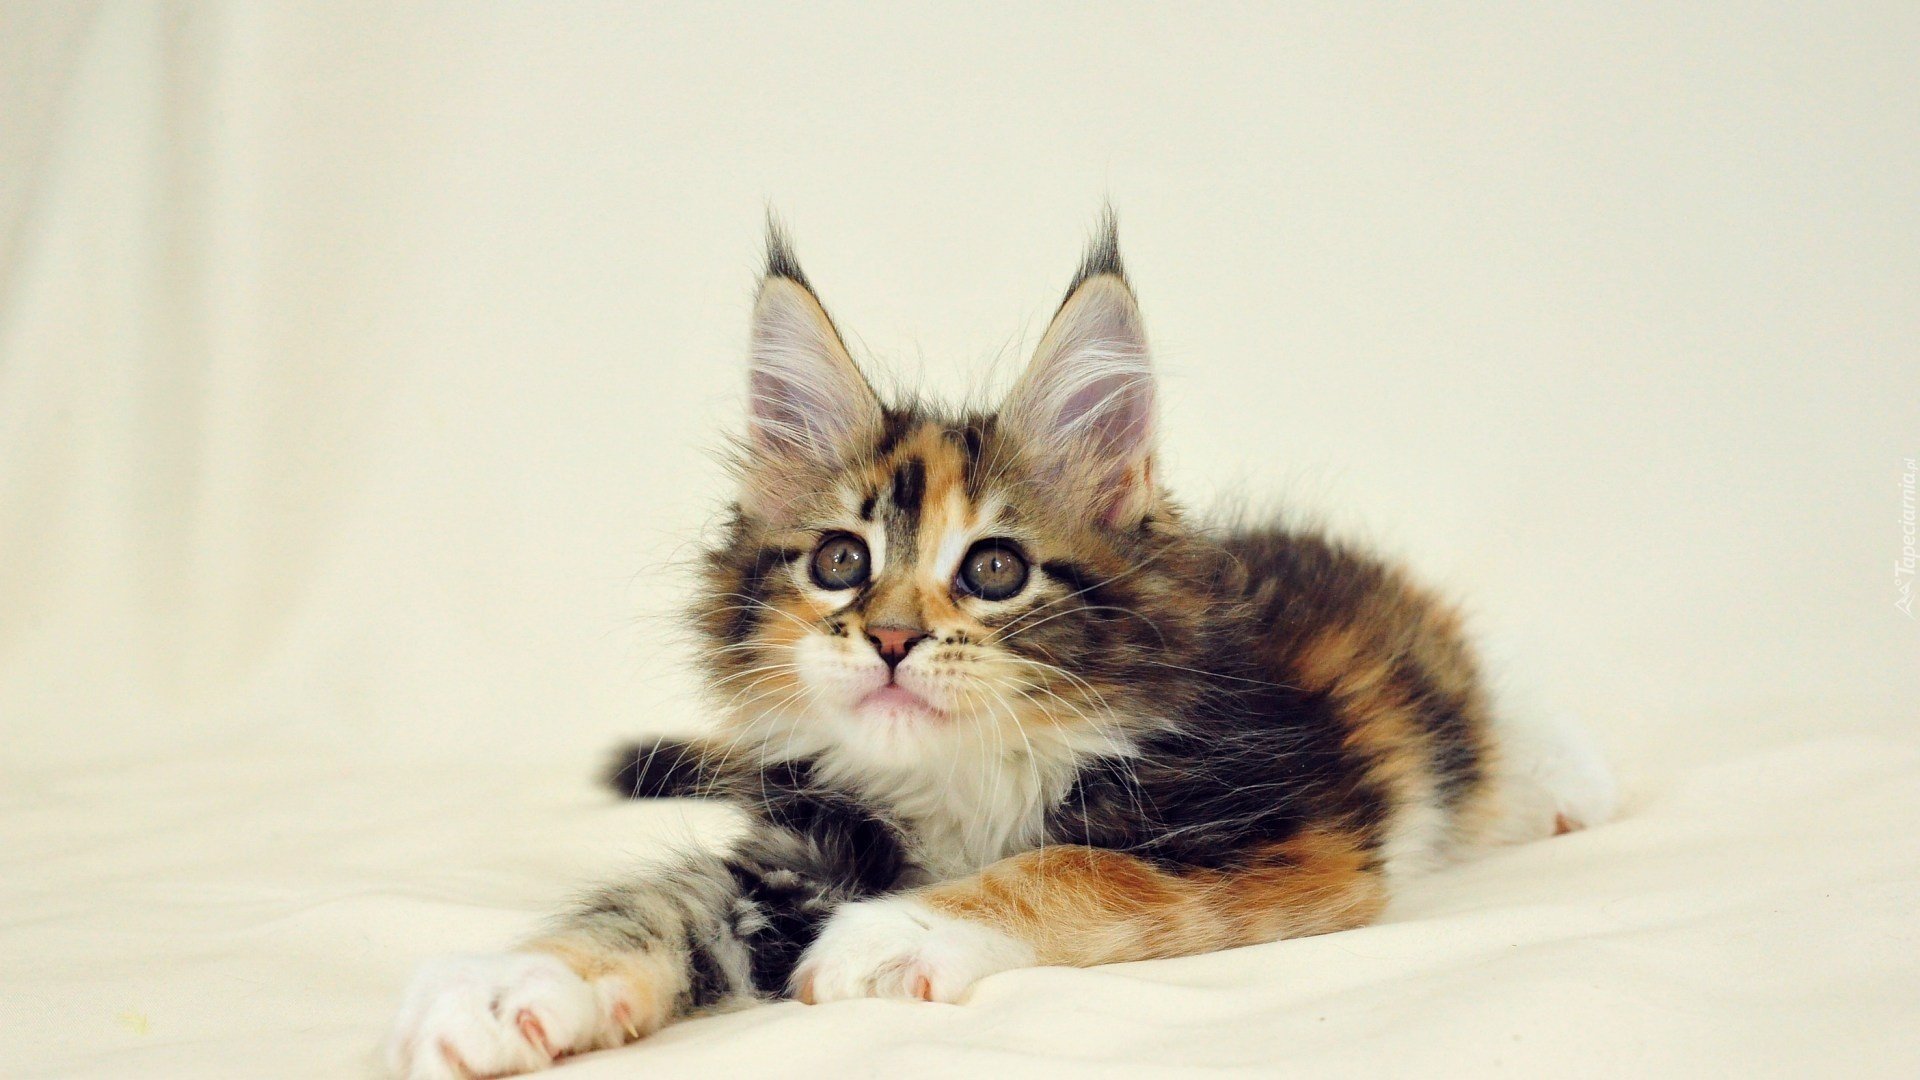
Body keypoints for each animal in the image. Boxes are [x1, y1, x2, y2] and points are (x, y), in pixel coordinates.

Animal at [386, 216, 1616, 1079]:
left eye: (992, 571)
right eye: (840, 561)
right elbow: (652, 902)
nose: (888, 637)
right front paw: (508, 985)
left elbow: (1074, 869)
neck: (963, 783)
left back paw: (1560, 783)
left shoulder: (1292, 841)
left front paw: (896, 935)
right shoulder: (798, 850)